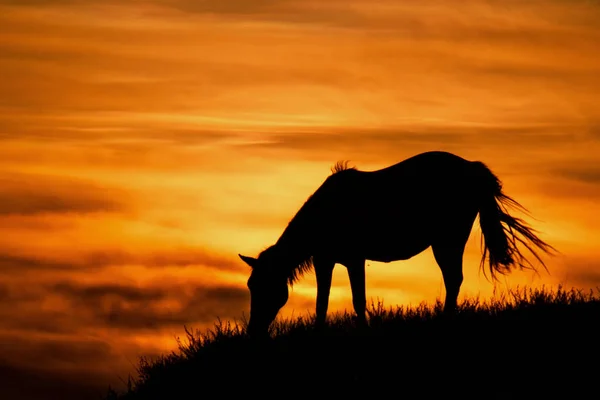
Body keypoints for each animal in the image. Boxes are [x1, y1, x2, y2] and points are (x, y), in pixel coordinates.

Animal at [237, 151, 556, 338]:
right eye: (251, 286)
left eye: (266, 287)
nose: (253, 331)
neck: (326, 213)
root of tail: (473, 169)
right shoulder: (324, 260)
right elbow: (321, 303)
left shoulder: (353, 259)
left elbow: (358, 300)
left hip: (448, 239)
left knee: (453, 279)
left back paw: (445, 322)